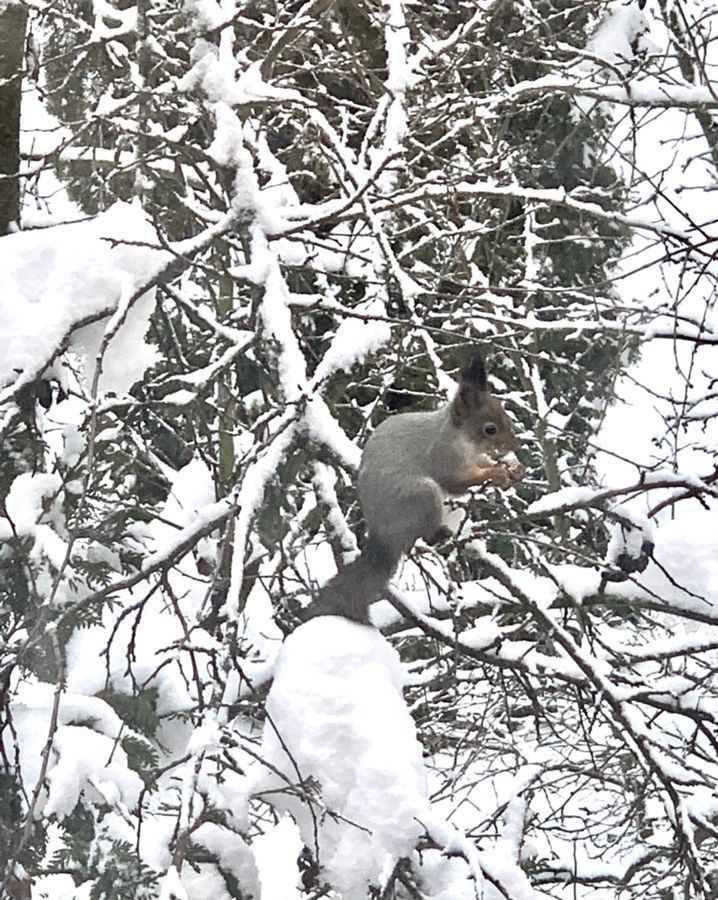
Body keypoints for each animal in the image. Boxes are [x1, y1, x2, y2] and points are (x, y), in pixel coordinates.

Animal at [306, 354, 524, 624]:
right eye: (490, 429)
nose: (513, 445)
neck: (460, 438)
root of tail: (383, 537)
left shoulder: (474, 457)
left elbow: (483, 463)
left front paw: (512, 468)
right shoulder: (442, 456)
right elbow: (455, 481)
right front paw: (495, 474)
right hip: (422, 496)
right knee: (424, 533)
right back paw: (438, 534)